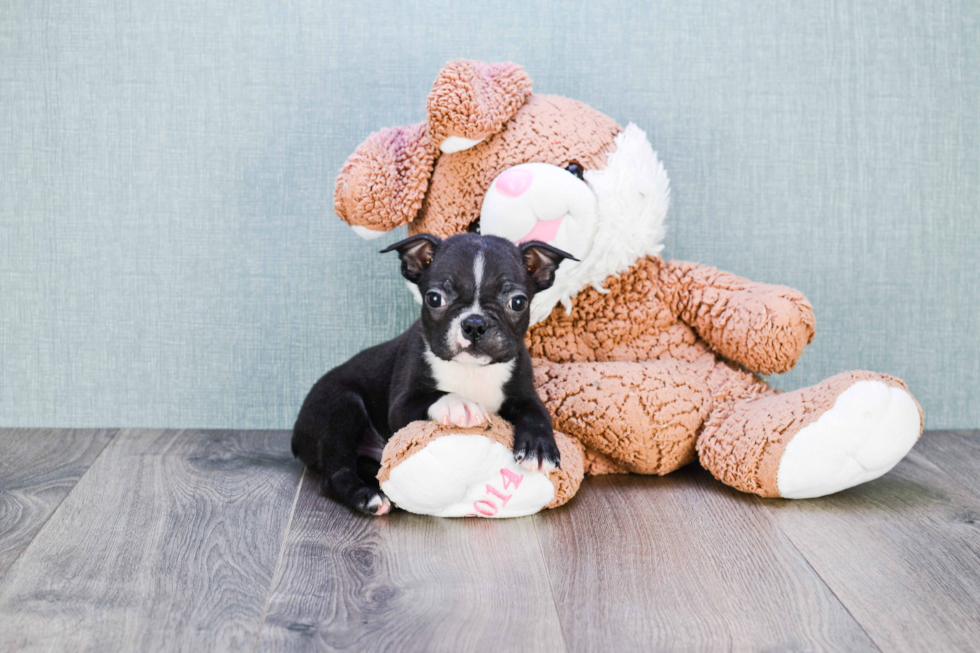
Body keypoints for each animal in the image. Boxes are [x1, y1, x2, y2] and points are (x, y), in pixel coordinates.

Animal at [294, 233, 580, 516]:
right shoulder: (400, 407)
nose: (474, 323)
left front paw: (539, 448)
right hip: (341, 406)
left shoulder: (525, 393)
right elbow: (434, 395)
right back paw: (367, 496)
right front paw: (459, 404)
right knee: (335, 473)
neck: (471, 369)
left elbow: (537, 413)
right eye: (434, 299)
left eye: (518, 302)